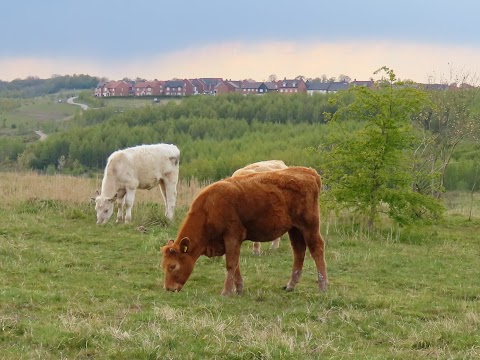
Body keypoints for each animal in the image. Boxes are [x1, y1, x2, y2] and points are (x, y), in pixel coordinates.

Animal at [160, 166, 326, 296]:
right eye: (163, 265)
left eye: (172, 266)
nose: (168, 288)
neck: (209, 207)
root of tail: (310, 172)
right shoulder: (228, 242)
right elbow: (235, 264)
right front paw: (239, 289)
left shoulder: (232, 236)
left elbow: (231, 264)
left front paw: (226, 292)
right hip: (295, 229)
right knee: (299, 252)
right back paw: (290, 286)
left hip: (310, 226)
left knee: (316, 248)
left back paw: (323, 286)